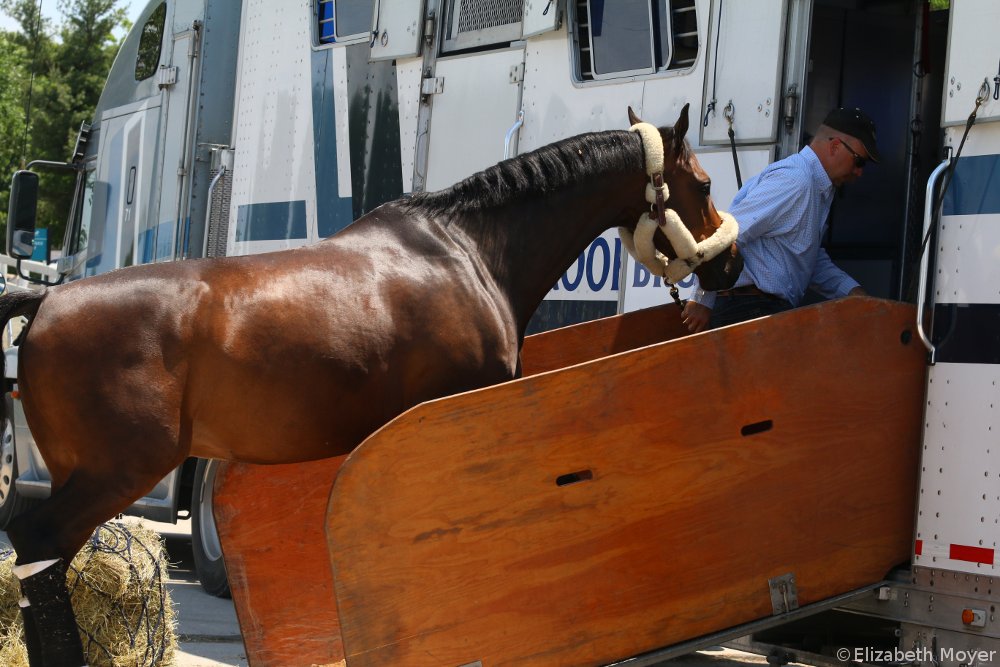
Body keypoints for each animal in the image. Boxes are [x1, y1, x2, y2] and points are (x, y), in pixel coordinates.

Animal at [0, 105, 736, 667]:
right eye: (701, 183)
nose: (728, 264)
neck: (466, 251)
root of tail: (46, 301)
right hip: (115, 471)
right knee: (38, 545)